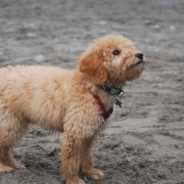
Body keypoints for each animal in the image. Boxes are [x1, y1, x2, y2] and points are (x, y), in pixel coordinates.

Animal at [0, 34, 147, 184]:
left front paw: (90, 173)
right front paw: (72, 179)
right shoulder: (75, 132)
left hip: (15, 122)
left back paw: (13, 163)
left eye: (131, 47)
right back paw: (3, 168)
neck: (92, 87)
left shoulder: (89, 133)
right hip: (9, 121)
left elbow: (87, 156)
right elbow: (71, 160)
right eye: (116, 52)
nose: (140, 54)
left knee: (5, 147)